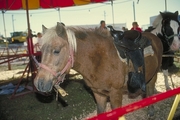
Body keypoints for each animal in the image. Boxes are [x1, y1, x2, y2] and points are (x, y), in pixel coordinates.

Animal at [33, 22, 163, 118]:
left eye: (56, 51)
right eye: (41, 50)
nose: (39, 83)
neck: (100, 59)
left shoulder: (115, 94)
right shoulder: (98, 93)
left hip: (154, 76)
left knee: (150, 90)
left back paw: (151, 111)